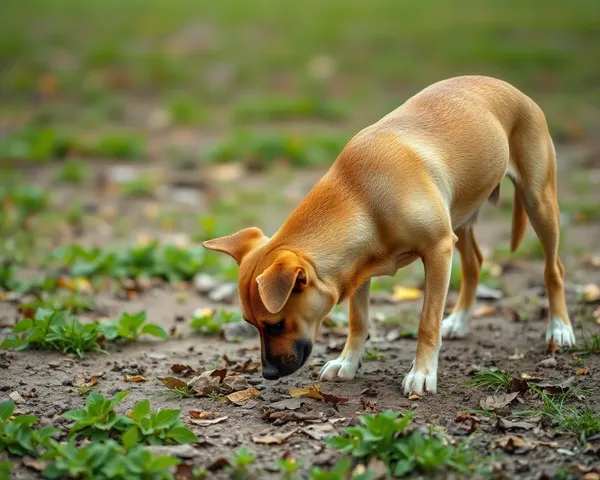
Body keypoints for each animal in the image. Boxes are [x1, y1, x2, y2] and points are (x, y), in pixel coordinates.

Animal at [203, 75, 576, 396]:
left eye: (276, 325)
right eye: (251, 324)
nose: (267, 373)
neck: (361, 193)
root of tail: (504, 84)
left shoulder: (438, 250)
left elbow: (427, 322)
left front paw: (422, 374)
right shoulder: (357, 269)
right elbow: (359, 320)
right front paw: (348, 362)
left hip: (538, 200)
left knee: (553, 269)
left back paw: (559, 327)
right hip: (462, 216)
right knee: (474, 264)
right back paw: (460, 319)